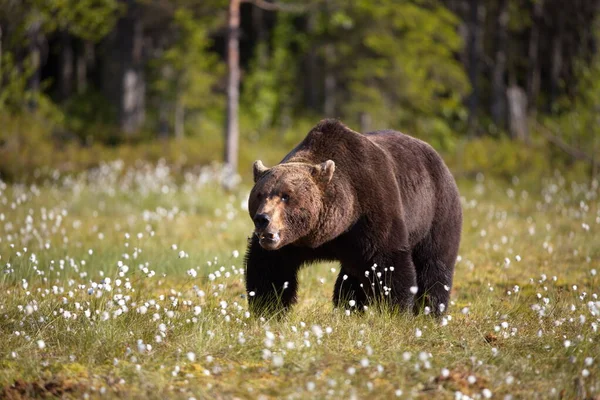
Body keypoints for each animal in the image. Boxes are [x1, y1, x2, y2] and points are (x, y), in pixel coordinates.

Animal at [246, 119, 462, 316]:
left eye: (286, 196)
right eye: (260, 195)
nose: (262, 219)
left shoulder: (371, 211)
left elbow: (388, 263)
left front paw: (395, 311)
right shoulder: (293, 242)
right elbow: (269, 269)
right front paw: (267, 308)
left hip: (437, 212)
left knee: (434, 264)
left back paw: (431, 312)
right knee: (353, 276)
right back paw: (350, 307)